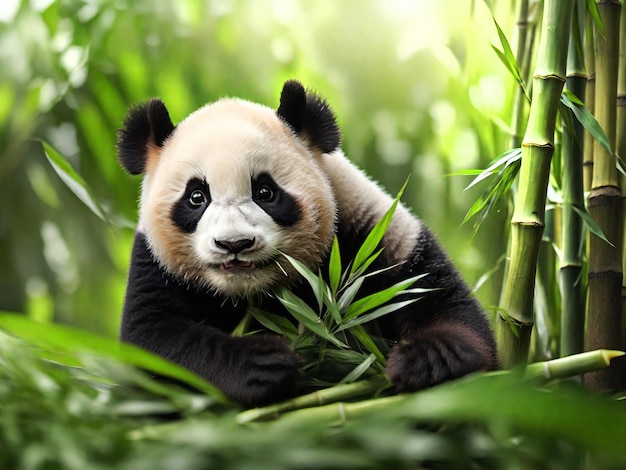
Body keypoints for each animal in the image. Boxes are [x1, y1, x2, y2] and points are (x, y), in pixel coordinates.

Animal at [116, 79, 498, 406]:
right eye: (196, 197)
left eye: (265, 192)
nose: (235, 244)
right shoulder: (154, 257)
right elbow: (153, 341)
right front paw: (263, 364)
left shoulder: (367, 227)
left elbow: (435, 297)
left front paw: (426, 358)